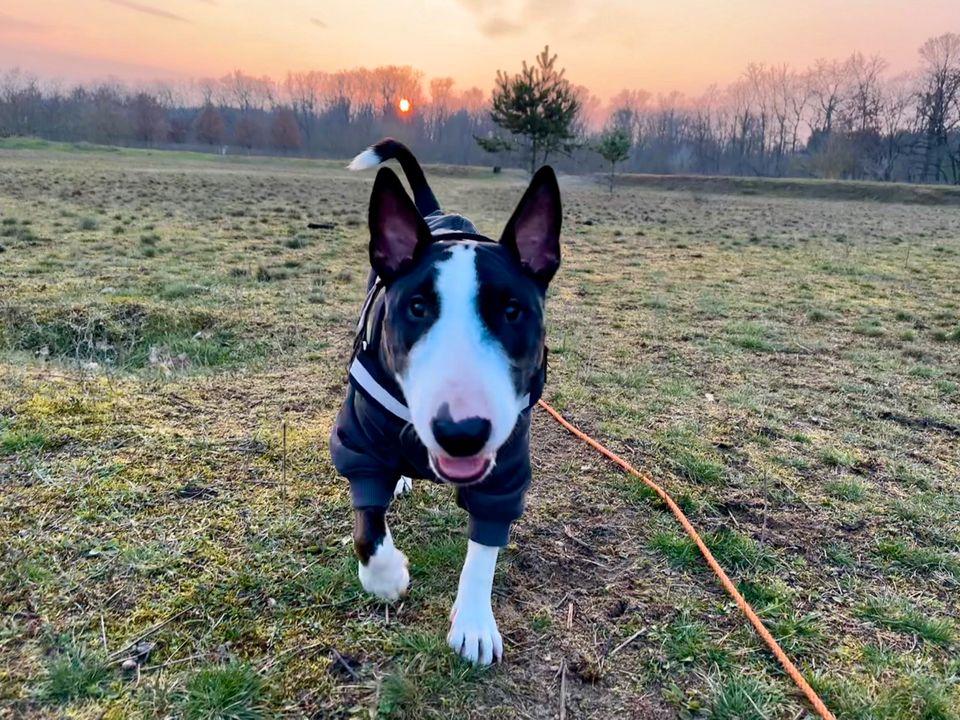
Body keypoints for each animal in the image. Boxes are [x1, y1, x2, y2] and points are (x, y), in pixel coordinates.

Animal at [328, 138, 560, 668]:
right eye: (416, 307)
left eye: (512, 311)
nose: (461, 432)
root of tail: (437, 213)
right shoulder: (358, 439)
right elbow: (367, 524)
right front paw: (386, 576)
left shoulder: (505, 468)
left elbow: (484, 549)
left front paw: (474, 624)